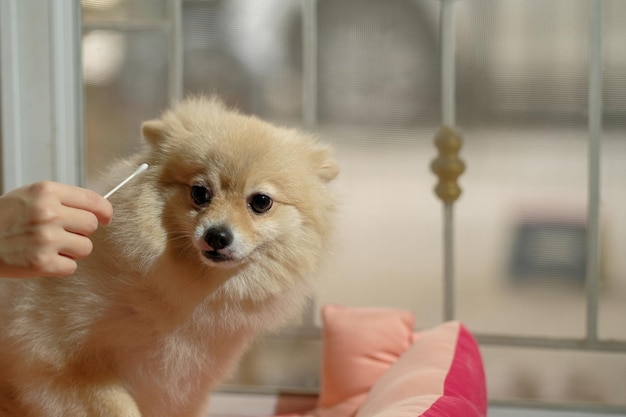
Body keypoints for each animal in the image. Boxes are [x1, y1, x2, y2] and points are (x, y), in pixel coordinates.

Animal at [0, 96, 336, 414]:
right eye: (200, 193)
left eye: (261, 202)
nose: (217, 235)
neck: (185, 290)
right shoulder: (56, 361)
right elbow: (115, 406)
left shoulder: (184, 390)